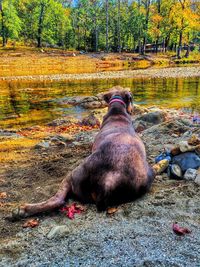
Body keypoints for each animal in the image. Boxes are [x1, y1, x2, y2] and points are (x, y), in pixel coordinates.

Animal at [11, 89, 154, 219]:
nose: (132, 110)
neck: (117, 111)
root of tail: (109, 182)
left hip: (73, 175)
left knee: (58, 200)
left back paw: (23, 210)